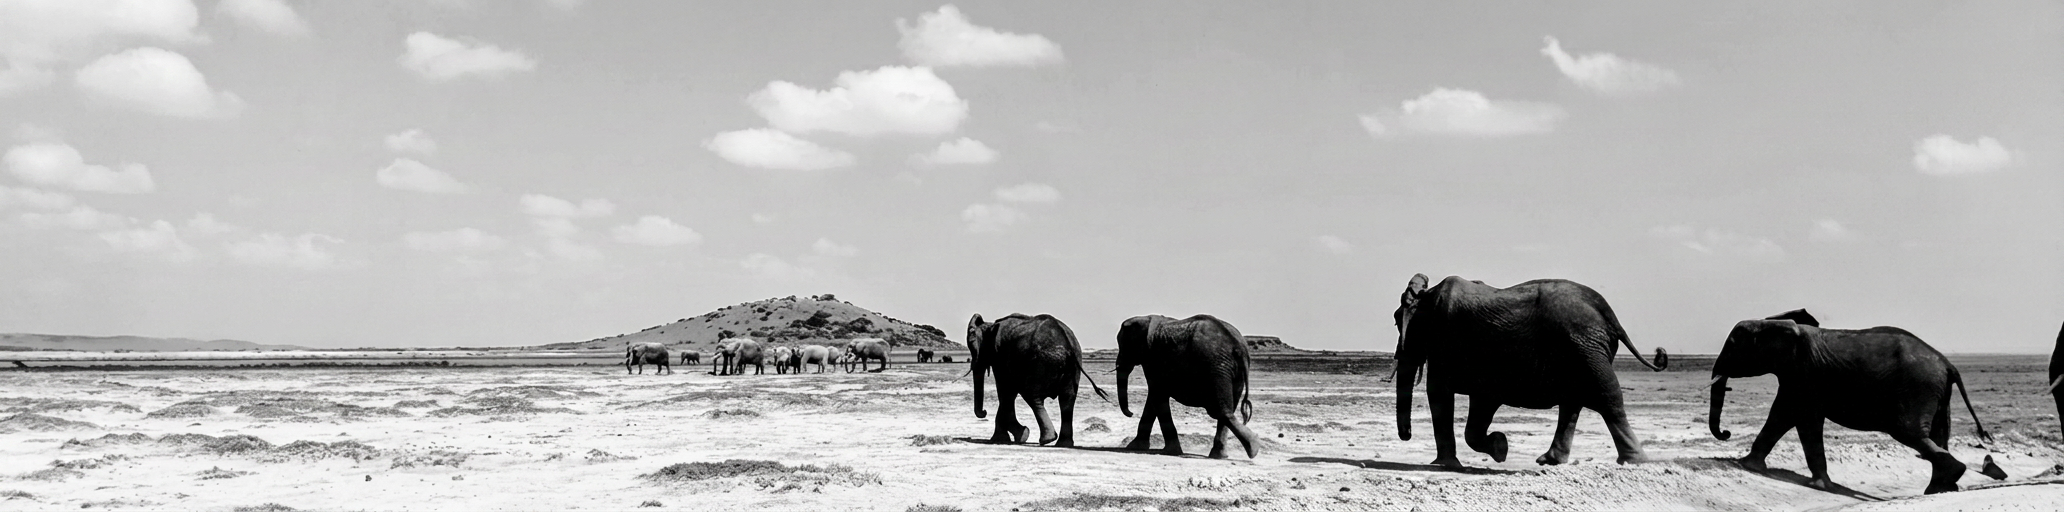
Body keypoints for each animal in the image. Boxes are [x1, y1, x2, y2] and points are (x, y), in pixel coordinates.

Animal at [966, 313, 1110, 447]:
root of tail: (1067, 340)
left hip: (1042, 362)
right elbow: (1009, 393)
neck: (990, 326)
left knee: (1031, 395)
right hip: (1072, 364)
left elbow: (1005, 391)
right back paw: (1063, 444)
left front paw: (1010, 437)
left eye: (973, 346)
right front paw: (1017, 436)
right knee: (1067, 399)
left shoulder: (999, 355)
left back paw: (1048, 439)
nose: (984, 412)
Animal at [1115, 314, 1259, 459]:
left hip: (1215, 367)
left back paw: (1253, 447)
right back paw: (1224, 454)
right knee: (1228, 409)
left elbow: (1157, 394)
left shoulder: (1153, 358)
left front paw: (1171, 451)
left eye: (1123, 346)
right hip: (1232, 370)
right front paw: (1136, 447)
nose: (1131, 413)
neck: (1146, 319)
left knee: (1220, 410)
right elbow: (1154, 397)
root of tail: (1239, 346)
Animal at [1393, 274, 1668, 469]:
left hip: (1584, 348)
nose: (1406, 436)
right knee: (1573, 403)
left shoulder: (1445, 340)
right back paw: (1549, 461)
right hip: (1582, 350)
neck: (1427, 296)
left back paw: (1633, 461)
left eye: (1396, 321)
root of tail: (1611, 316)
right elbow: (1481, 402)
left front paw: (1448, 464)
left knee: (1607, 399)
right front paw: (1500, 449)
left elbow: (1439, 393)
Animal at [1708, 309, 2008, 494]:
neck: (1774, 323)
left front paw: (1819, 486)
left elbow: (1803, 419)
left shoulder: (1804, 375)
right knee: (1938, 435)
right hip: (1937, 393)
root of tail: (1948, 364)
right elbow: (1782, 415)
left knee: (1909, 432)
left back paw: (1946, 481)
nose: (1726, 433)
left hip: (1917, 389)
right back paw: (1941, 488)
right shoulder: (1795, 377)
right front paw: (1749, 465)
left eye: (1732, 345)